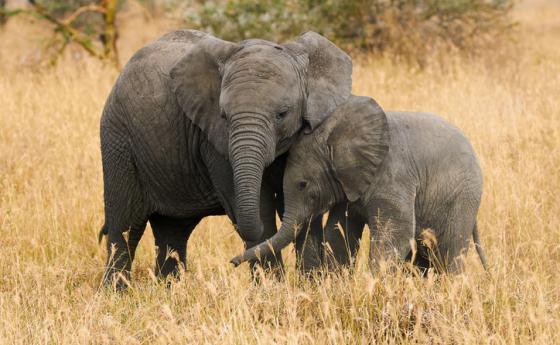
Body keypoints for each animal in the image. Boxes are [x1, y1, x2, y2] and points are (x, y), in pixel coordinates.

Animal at [98, 29, 348, 286]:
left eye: (282, 114)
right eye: (224, 116)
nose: (232, 262)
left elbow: (304, 205)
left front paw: (313, 285)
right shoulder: (214, 143)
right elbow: (260, 208)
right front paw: (272, 288)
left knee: (172, 232)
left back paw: (169, 289)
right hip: (118, 142)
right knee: (126, 225)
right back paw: (116, 291)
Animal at [230, 95, 488, 272]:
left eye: (303, 184)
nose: (231, 262)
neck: (335, 137)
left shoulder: (392, 176)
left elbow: (396, 234)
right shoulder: (347, 183)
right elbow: (339, 232)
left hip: (463, 197)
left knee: (450, 251)